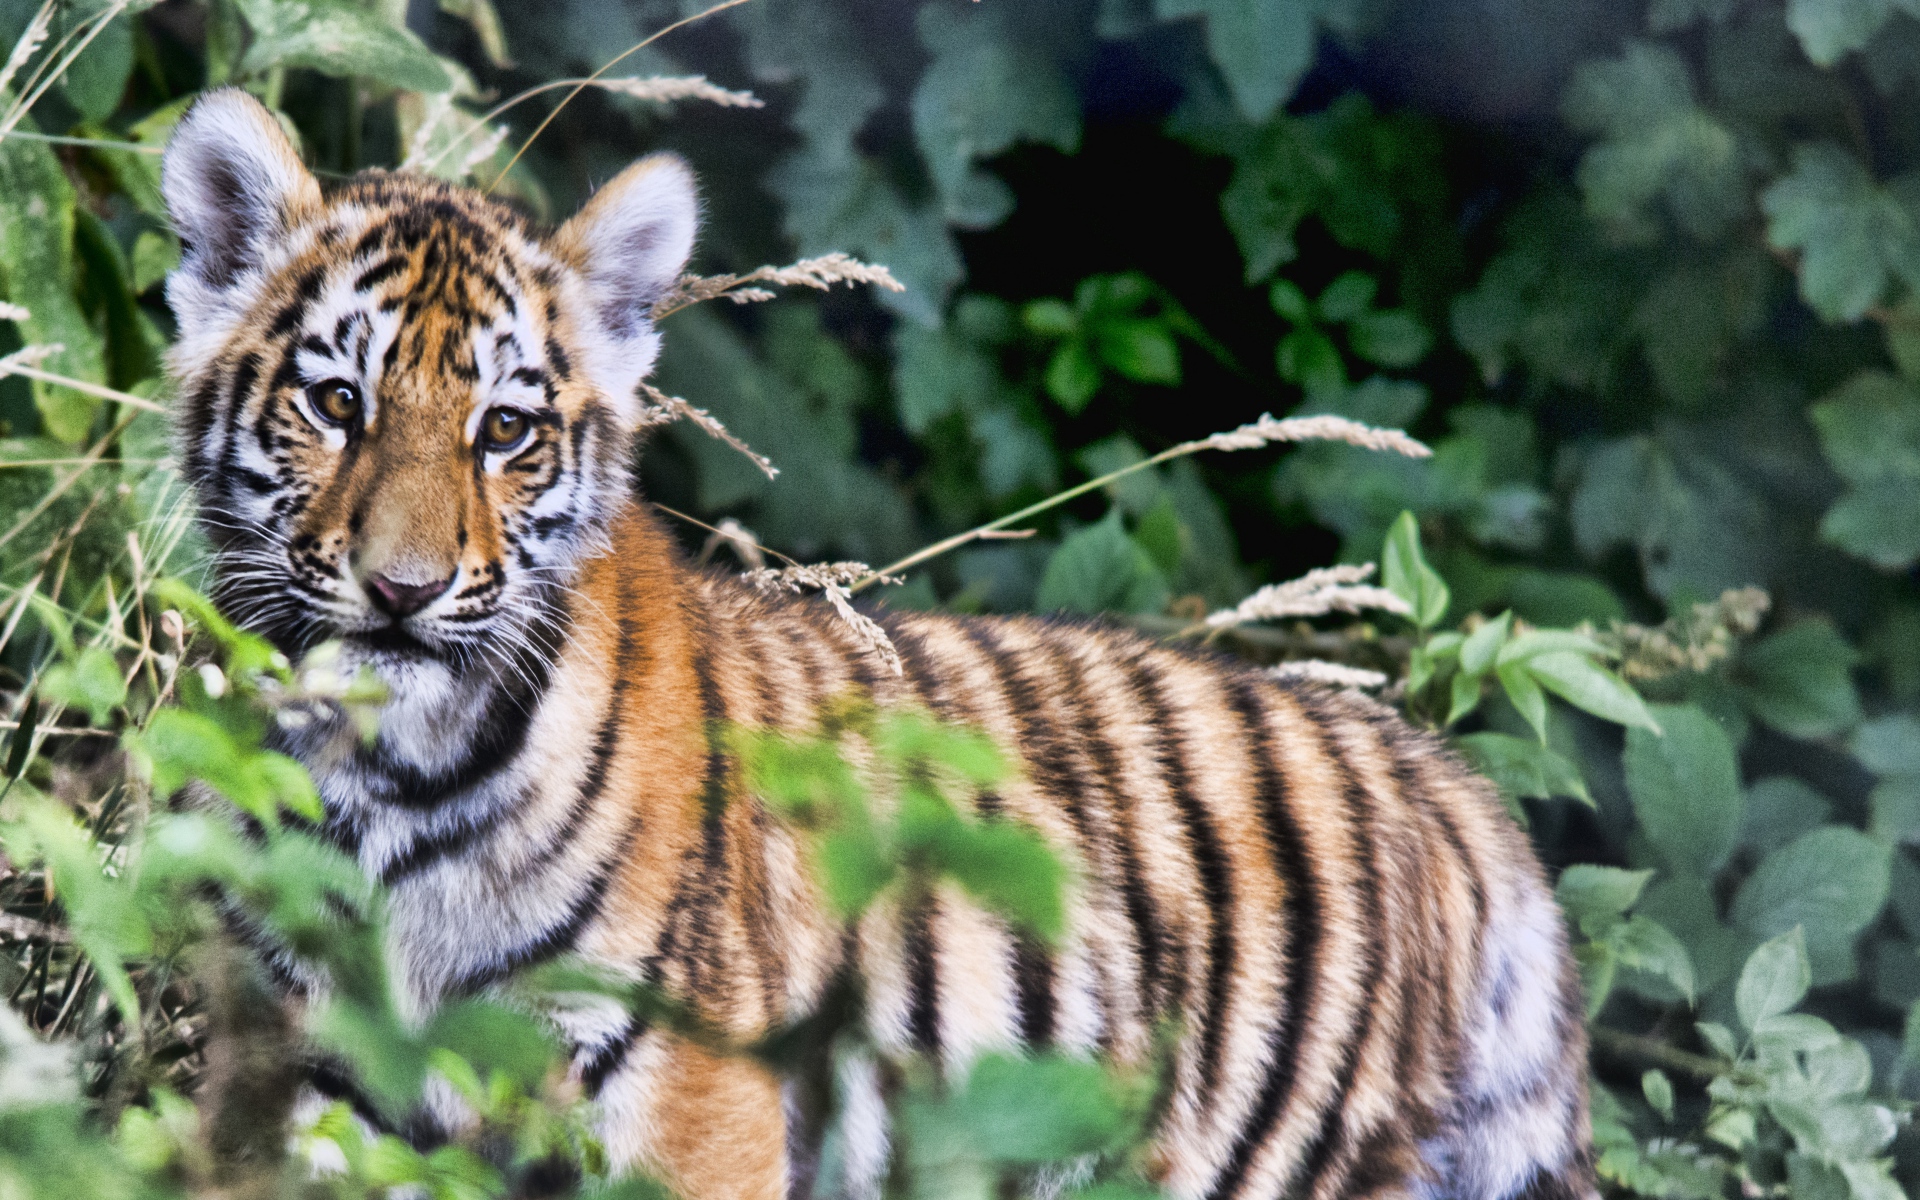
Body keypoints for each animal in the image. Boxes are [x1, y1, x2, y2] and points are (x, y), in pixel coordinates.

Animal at [159, 87, 1595, 1200]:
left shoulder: (683, 1082)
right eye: (336, 403)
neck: (386, 770)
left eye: (503, 430)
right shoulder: (305, 1055)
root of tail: (1450, 786)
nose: (401, 592)